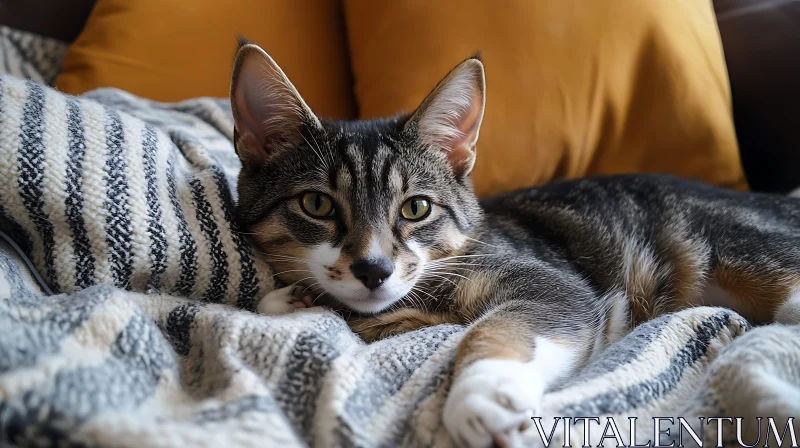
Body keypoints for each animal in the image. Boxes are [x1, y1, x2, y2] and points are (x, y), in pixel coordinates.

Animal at [228, 39, 800, 448]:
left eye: (416, 208)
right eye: (316, 205)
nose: (373, 269)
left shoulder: (549, 282)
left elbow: (498, 324)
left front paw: (482, 394)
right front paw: (293, 297)